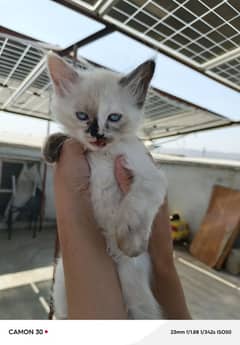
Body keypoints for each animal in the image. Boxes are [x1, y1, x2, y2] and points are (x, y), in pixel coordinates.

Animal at [44, 52, 167, 318]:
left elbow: (135, 206)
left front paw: (130, 241)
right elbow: (66, 137)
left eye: (114, 118)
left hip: (139, 300)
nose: (97, 135)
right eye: (82, 116)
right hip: (62, 289)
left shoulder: (149, 176)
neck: (103, 155)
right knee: (62, 315)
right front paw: (50, 148)